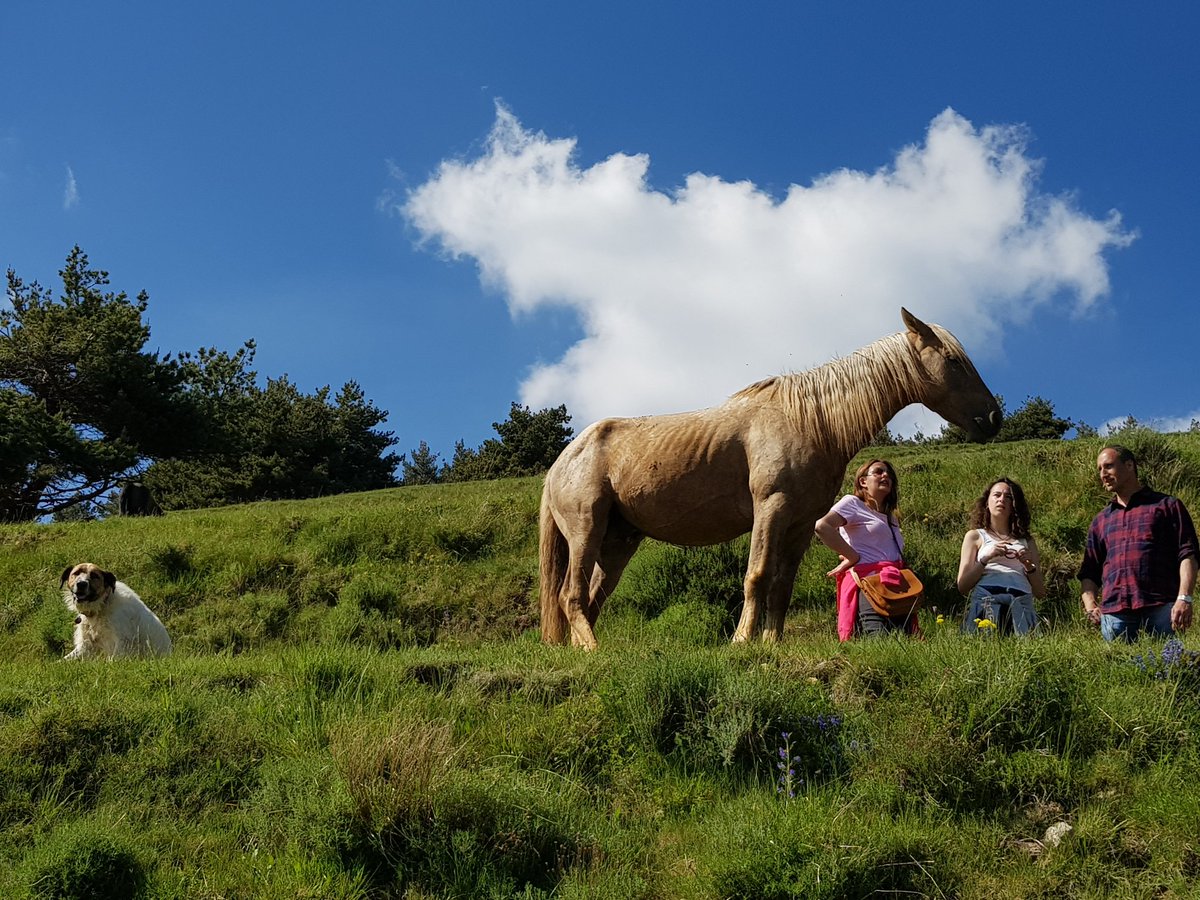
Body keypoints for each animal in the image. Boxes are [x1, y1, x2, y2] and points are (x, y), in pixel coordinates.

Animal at [539, 307, 1002, 649]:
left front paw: (770, 643)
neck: (810, 421)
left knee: (590, 599)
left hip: (618, 542)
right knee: (570, 596)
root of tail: (561, 463)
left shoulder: (801, 523)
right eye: (953, 361)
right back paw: (592, 650)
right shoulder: (771, 508)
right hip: (586, 531)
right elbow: (757, 575)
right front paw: (742, 641)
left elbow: (781, 585)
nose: (994, 417)